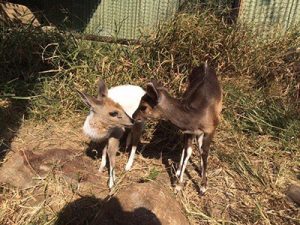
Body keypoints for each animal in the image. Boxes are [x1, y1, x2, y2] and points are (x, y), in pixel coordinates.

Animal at [132, 62, 221, 193]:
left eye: (143, 106)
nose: (133, 116)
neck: (196, 116)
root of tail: (205, 64)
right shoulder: (189, 131)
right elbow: (188, 151)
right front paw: (178, 185)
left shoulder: (210, 129)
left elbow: (204, 152)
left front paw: (203, 186)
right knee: (187, 148)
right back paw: (179, 171)